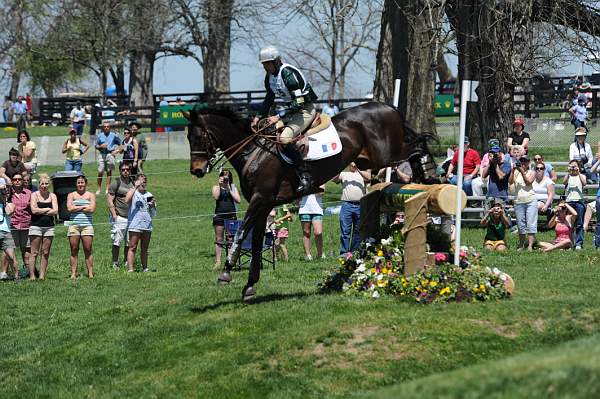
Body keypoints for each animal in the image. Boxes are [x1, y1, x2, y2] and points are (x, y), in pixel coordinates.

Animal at [185, 101, 438, 302]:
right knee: (415, 144)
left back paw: (428, 172)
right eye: (188, 138)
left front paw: (226, 272)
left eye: (198, 137)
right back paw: (426, 174)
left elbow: (239, 234)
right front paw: (250, 285)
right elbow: (256, 243)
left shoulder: (259, 200)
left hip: (385, 154)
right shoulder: (264, 206)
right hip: (368, 160)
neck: (253, 152)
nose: (196, 170)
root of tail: (387, 107)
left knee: (417, 143)